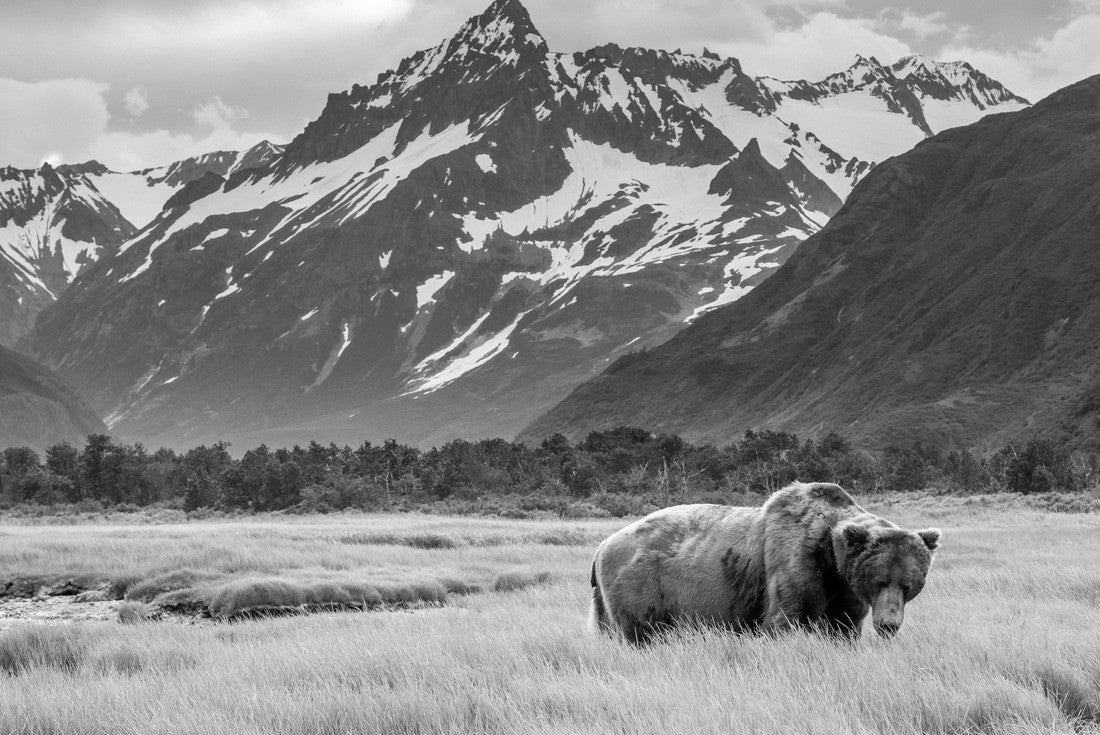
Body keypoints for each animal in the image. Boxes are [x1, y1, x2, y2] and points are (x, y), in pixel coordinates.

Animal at [589, 481, 941, 644]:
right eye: (880, 580)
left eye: (908, 585)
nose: (889, 625)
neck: (830, 557)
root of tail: (602, 545)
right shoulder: (793, 561)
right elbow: (785, 619)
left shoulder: (843, 590)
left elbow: (843, 626)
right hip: (643, 582)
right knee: (641, 632)